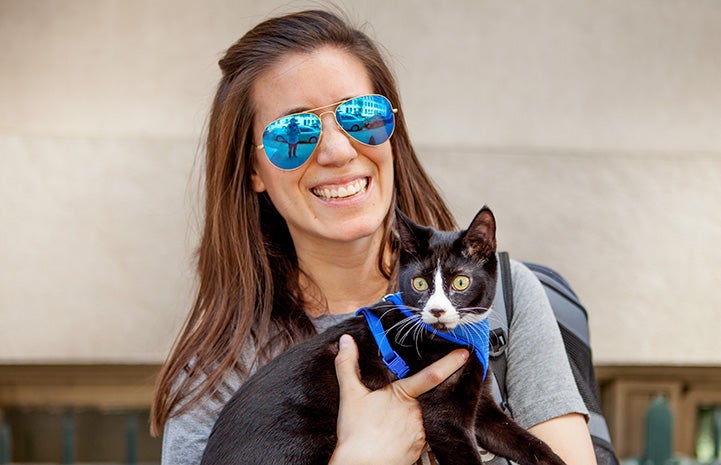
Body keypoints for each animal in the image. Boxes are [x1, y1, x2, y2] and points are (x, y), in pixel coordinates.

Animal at [200, 207, 564, 464]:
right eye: (420, 283)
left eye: (461, 282)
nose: (436, 310)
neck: (456, 337)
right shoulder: (444, 419)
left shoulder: (482, 406)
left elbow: (525, 440)